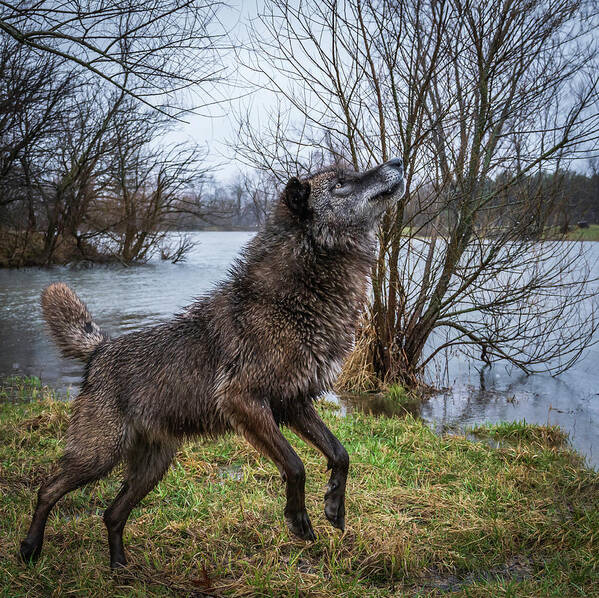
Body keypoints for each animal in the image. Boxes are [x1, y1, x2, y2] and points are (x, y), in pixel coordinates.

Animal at [19, 157, 404, 568]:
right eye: (342, 184)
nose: (397, 161)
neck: (293, 297)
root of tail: (100, 350)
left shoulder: (294, 403)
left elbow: (341, 453)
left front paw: (334, 506)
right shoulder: (245, 401)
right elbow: (296, 465)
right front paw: (298, 520)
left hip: (152, 468)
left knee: (112, 514)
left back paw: (120, 566)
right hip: (98, 456)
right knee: (47, 490)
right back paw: (30, 548)